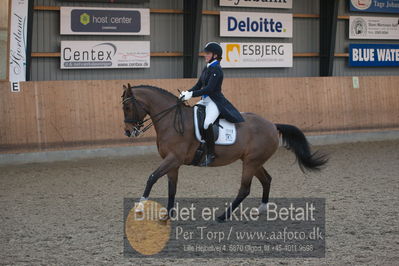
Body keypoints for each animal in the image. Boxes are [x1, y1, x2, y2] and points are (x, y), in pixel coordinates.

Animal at [122, 84, 328, 221]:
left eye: (127, 107)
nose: (129, 132)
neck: (172, 121)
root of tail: (272, 125)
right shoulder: (172, 163)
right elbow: (172, 187)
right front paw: (168, 215)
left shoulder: (174, 159)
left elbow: (151, 177)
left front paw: (139, 207)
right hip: (253, 161)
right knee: (267, 179)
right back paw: (260, 209)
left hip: (251, 162)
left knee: (245, 189)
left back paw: (223, 216)